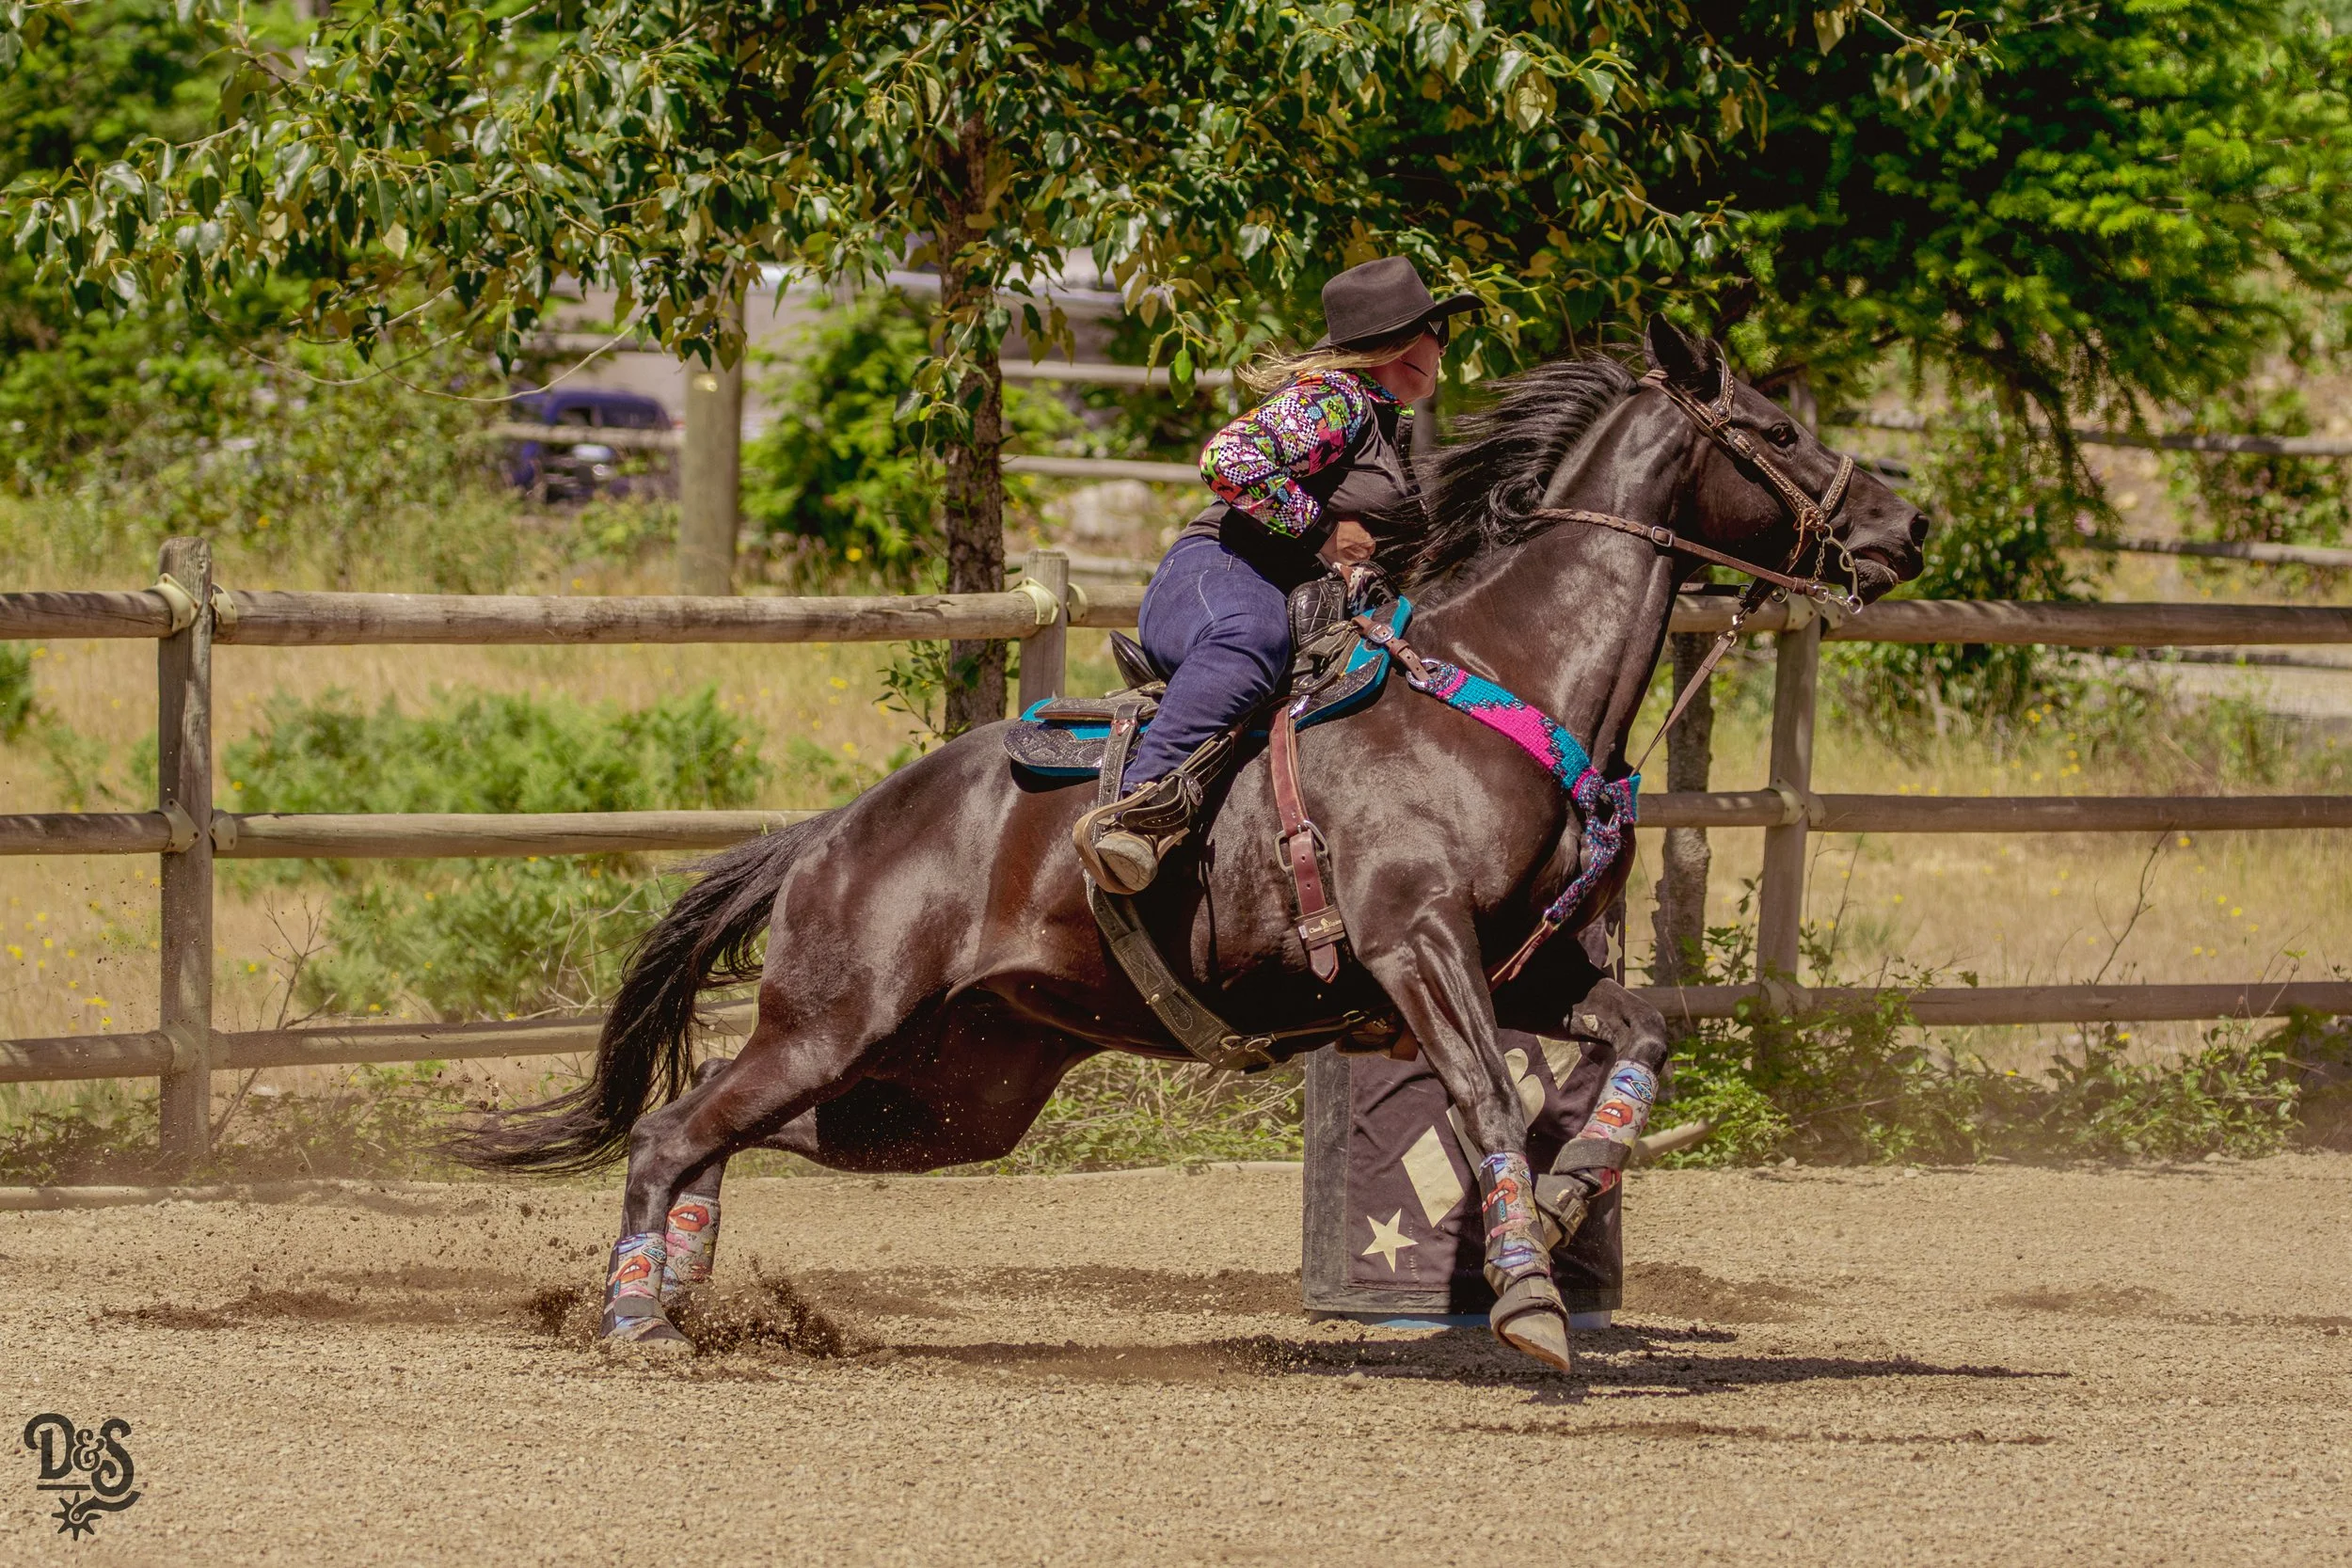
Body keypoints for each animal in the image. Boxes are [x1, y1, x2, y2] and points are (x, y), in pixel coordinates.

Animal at [458, 316, 1930, 1369]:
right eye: (1776, 428)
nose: (1906, 524)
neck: (1506, 677)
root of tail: (832, 831)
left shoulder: (1536, 967)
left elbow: (1640, 1042)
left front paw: (1568, 1204)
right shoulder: (1418, 945)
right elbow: (1482, 1094)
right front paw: (1525, 1295)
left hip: (948, 1091)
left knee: (723, 1126)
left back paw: (685, 1287)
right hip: (838, 1021)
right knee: (673, 1127)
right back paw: (639, 1317)